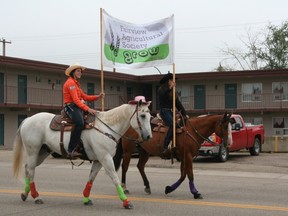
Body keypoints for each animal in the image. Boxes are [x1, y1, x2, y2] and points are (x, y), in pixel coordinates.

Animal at [12, 101, 152, 209]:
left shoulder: (98, 160)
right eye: (142, 115)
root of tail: (28, 119)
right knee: (31, 170)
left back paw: (25, 194)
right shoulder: (106, 158)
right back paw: (36, 197)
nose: (148, 137)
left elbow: (91, 179)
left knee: (28, 168)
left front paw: (86, 199)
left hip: (42, 152)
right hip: (33, 151)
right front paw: (126, 202)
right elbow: (115, 178)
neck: (106, 127)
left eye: (150, 116)